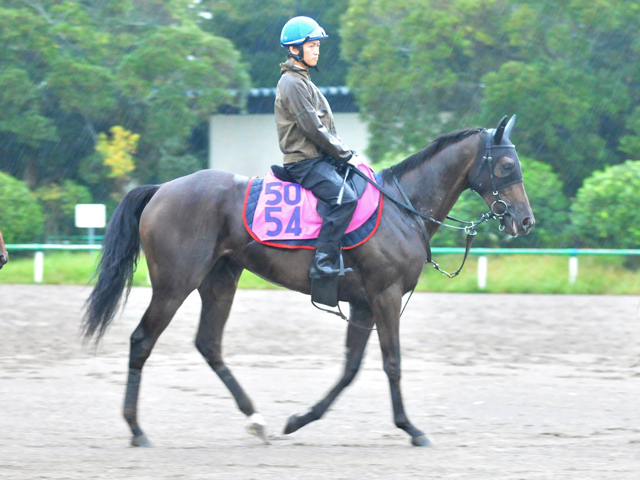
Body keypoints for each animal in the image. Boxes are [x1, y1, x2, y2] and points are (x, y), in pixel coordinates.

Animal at [83, 115, 534, 447]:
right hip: (174, 285)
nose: (525, 221)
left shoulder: (364, 303)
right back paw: (137, 430)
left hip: (220, 280)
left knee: (209, 343)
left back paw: (256, 419)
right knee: (142, 340)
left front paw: (300, 419)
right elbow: (392, 362)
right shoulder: (384, 296)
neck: (401, 208)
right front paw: (412, 428)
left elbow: (350, 369)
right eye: (507, 166)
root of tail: (162, 190)